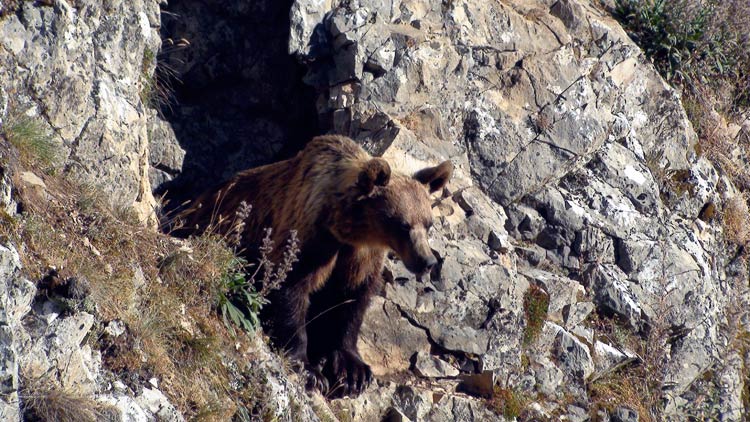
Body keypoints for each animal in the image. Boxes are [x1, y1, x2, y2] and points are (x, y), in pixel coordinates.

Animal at [178, 134, 453, 398]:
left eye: (428, 223)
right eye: (403, 225)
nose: (427, 261)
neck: (348, 231)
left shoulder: (361, 257)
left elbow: (352, 302)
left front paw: (353, 372)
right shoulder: (310, 238)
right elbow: (291, 287)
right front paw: (308, 369)